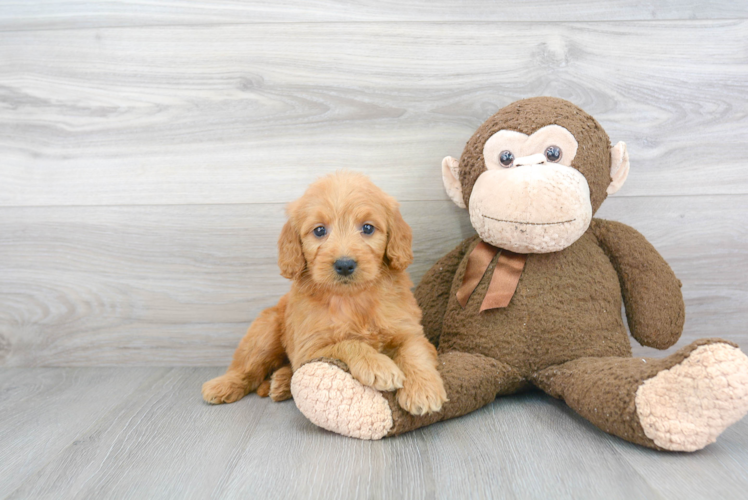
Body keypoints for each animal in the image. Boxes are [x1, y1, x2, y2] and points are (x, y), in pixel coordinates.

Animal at [202, 171, 448, 414]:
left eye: (368, 228)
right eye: (320, 230)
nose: (345, 265)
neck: (354, 298)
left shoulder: (409, 329)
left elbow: (415, 352)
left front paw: (423, 391)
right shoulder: (309, 349)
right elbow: (348, 343)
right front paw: (378, 365)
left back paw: (279, 383)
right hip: (264, 332)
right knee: (247, 368)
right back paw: (223, 385)